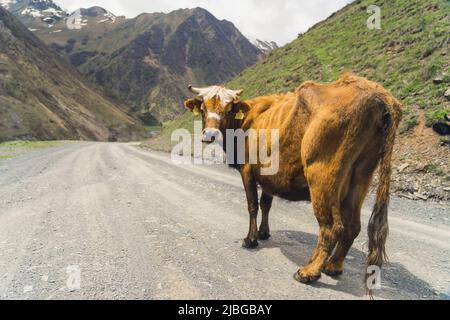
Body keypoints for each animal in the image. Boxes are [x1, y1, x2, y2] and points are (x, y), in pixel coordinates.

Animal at [185, 74, 402, 290]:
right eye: (203, 109)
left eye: (229, 108)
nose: (210, 134)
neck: (246, 121)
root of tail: (377, 94)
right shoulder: (269, 175)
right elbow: (266, 204)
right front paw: (264, 232)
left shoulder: (247, 170)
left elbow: (252, 205)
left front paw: (250, 239)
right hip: (361, 175)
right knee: (353, 226)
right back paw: (333, 265)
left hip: (322, 174)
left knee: (332, 227)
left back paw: (309, 272)